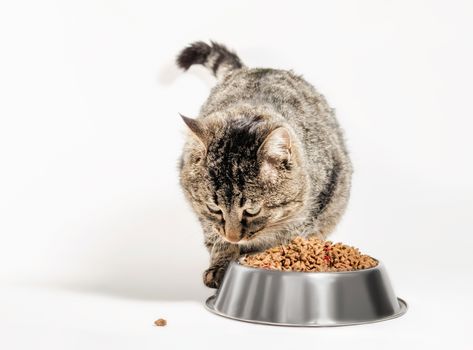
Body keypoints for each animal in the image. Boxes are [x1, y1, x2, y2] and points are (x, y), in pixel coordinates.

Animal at [176, 41, 350, 288]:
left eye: (252, 211)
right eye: (214, 208)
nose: (233, 237)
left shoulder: (314, 207)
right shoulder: (203, 214)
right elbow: (215, 235)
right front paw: (222, 263)